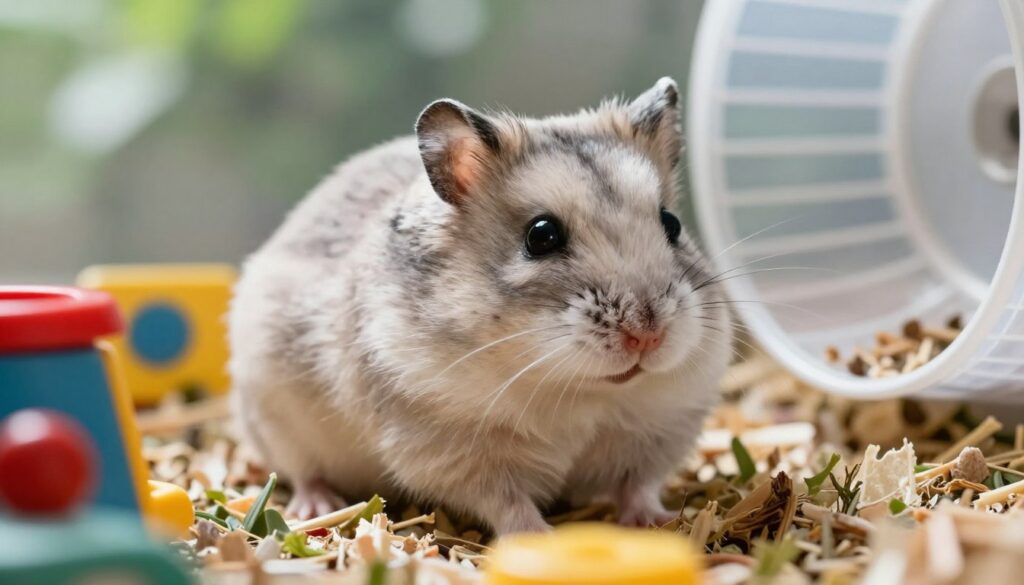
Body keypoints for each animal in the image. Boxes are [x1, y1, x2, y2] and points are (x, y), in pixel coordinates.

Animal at [228, 77, 733, 534]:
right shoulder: (456, 452)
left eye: (672, 224)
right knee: (301, 471)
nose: (648, 335)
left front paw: (657, 521)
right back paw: (315, 507)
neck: (578, 390)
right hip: (272, 418)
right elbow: (508, 504)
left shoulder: (661, 430)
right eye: (541, 236)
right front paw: (540, 537)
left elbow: (638, 485)